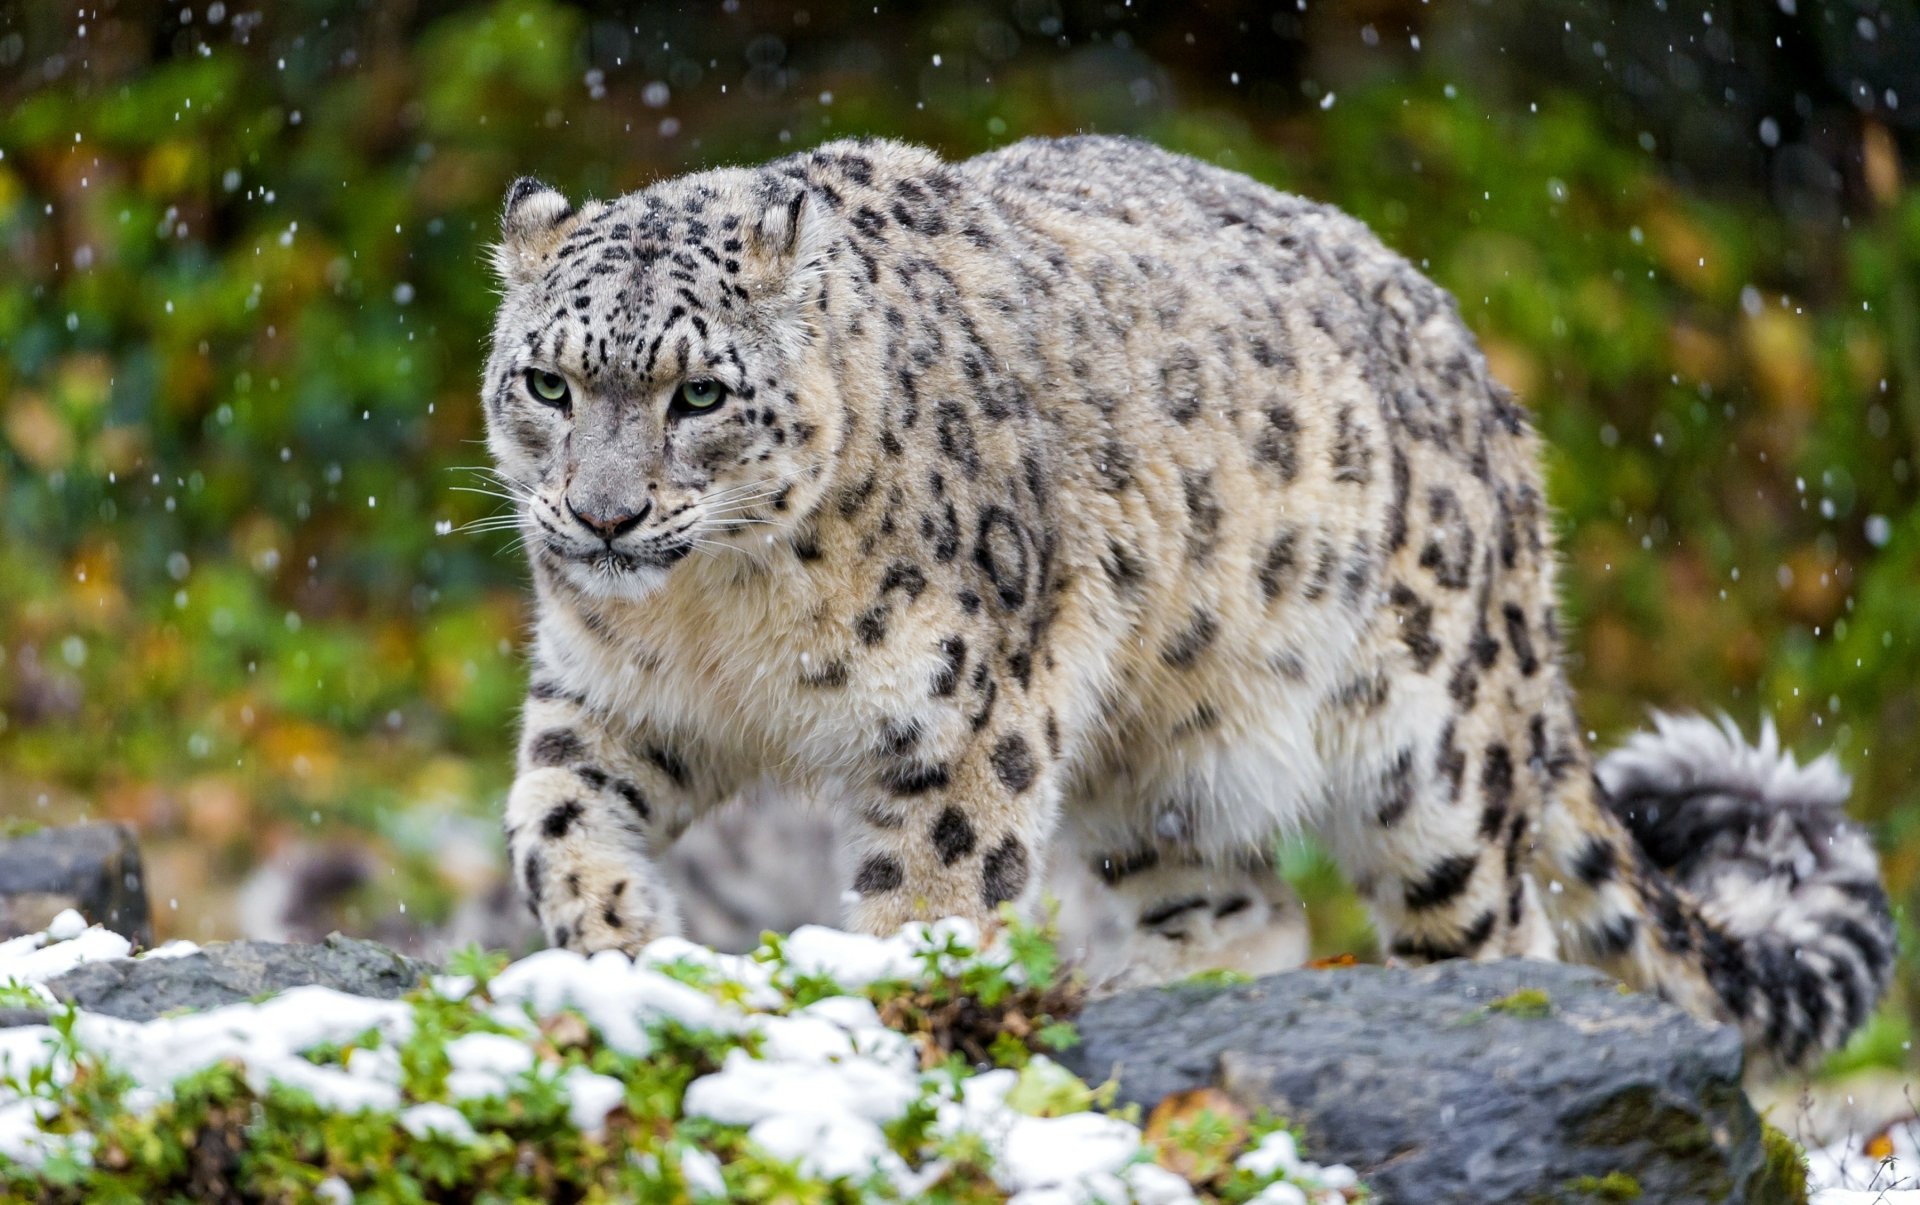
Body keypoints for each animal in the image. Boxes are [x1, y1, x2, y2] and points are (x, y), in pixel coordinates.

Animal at [478, 134, 1892, 1067]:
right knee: (1249, 907)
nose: (601, 515)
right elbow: (550, 821)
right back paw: (1139, 989)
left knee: (1507, 921)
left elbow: (929, 899)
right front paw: (621, 942)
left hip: (1434, 759)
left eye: (699, 393)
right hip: (1161, 758)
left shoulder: (957, 726)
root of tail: (1495, 405)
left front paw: (888, 1015)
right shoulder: (608, 699)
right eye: (547, 382)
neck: (718, 618)